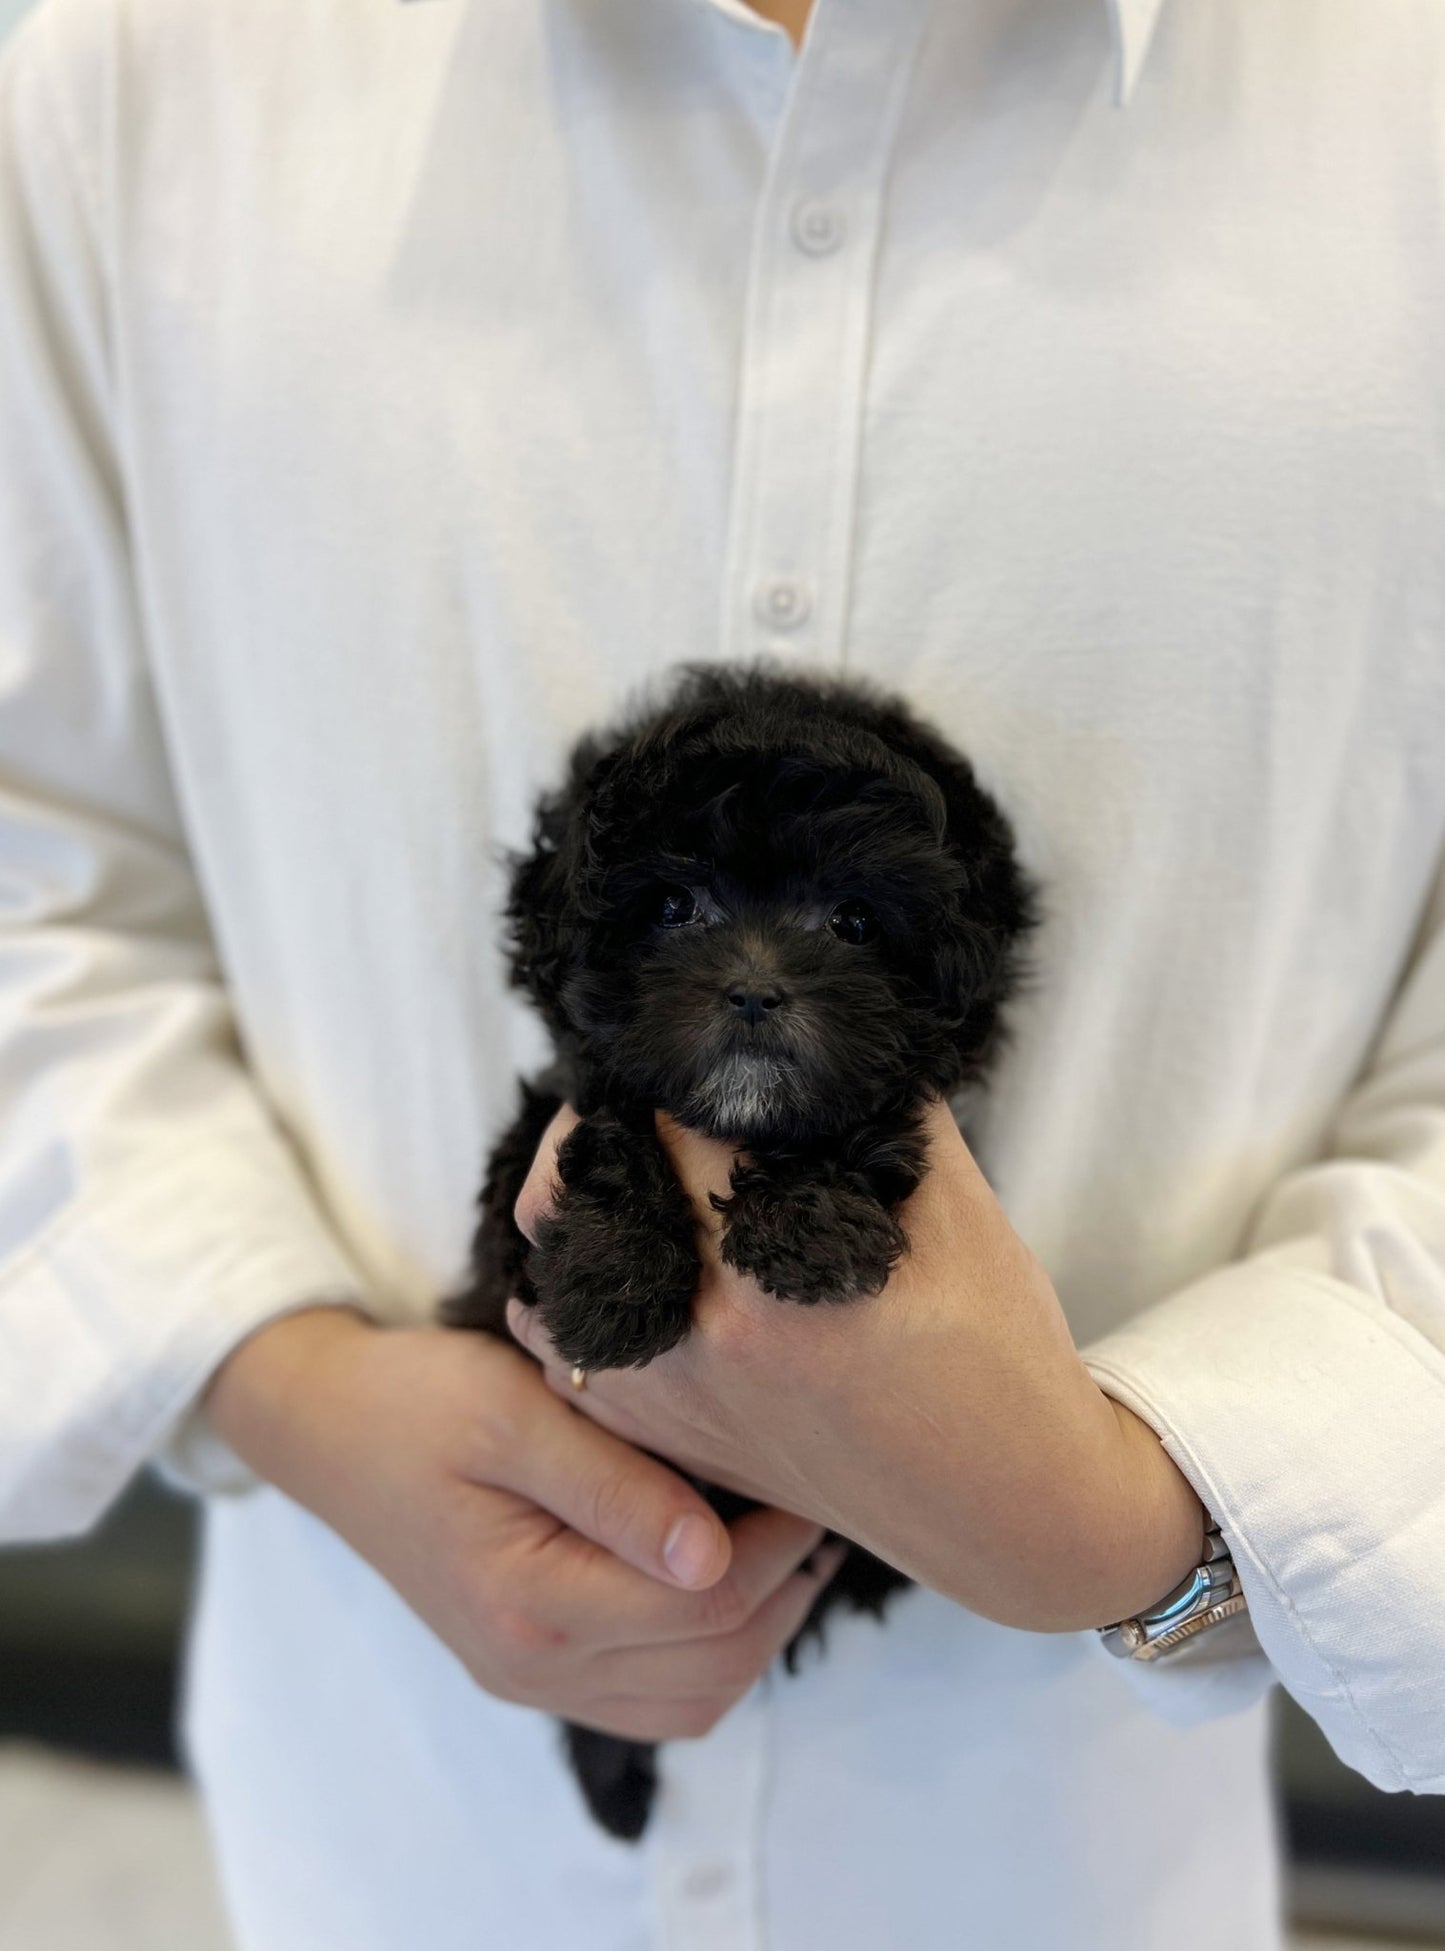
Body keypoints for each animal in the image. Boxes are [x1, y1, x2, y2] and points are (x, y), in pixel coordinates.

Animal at [442, 663, 1037, 1833]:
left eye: (854, 919)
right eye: (673, 907)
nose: (757, 988)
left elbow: (862, 1123)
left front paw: (808, 1222)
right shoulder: (520, 1196)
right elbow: (608, 1124)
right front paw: (614, 1283)